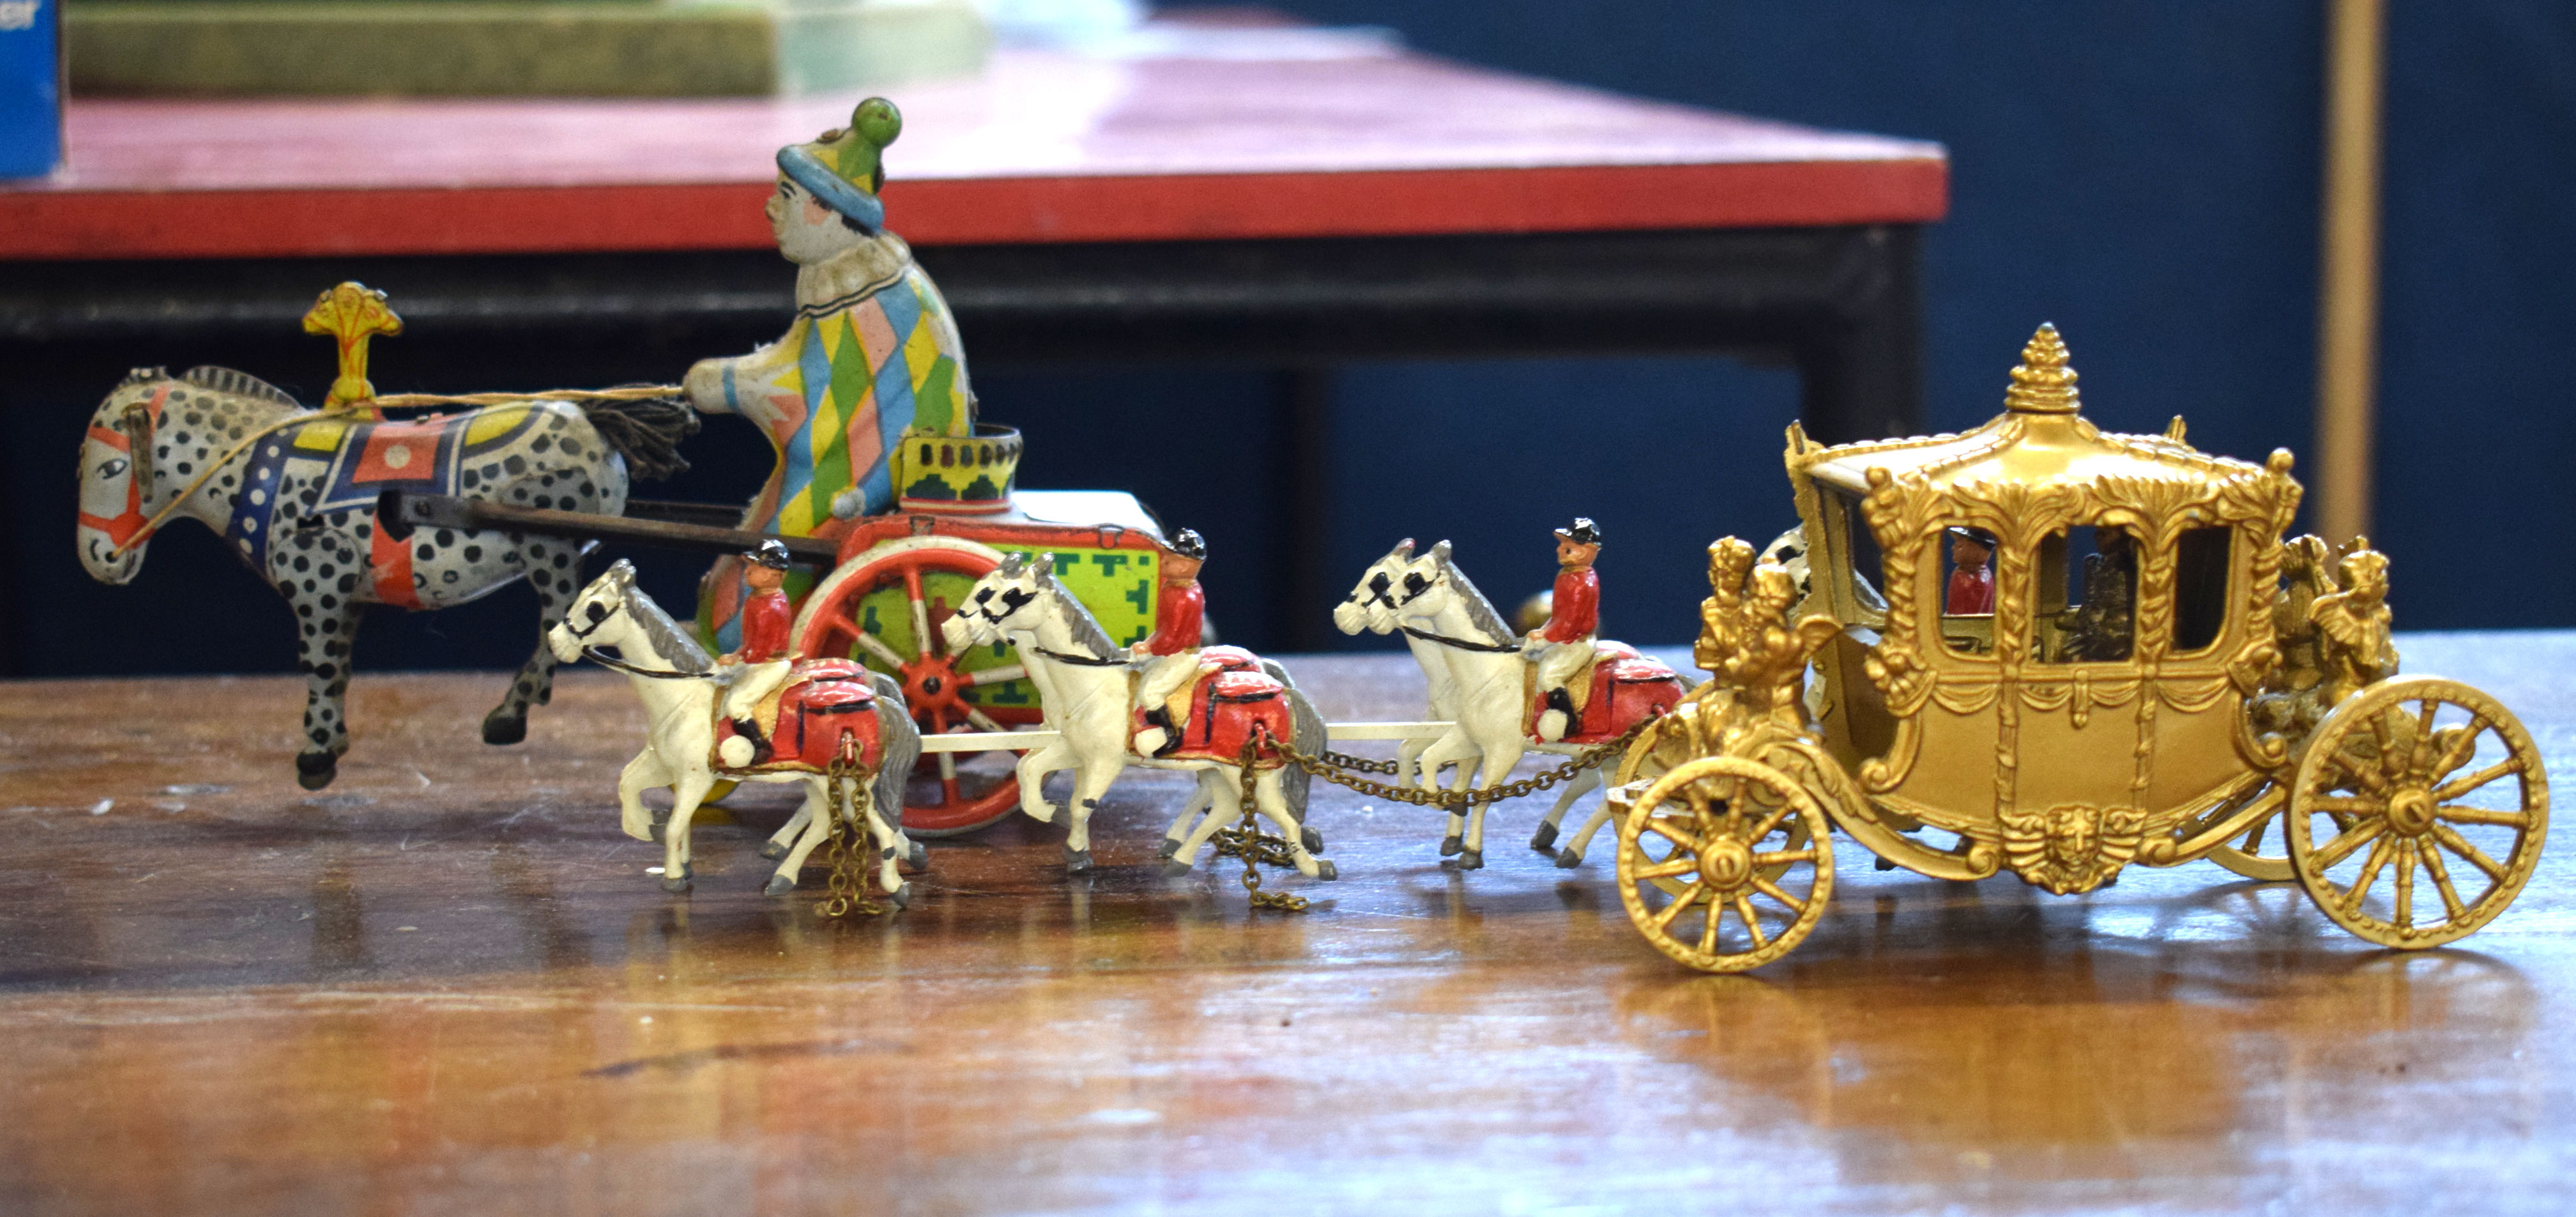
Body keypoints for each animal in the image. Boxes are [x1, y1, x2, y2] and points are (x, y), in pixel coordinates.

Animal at [73, 361, 695, 789]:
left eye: (111, 467)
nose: (99, 557)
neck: (255, 471)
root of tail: (590, 416)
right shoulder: (342, 595)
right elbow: (338, 668)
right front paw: (331, 740)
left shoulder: (317, 581)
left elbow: (319, 665)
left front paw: (317, 753)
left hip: (546, 547)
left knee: (557, 624)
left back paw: (508, 716)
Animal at [549, 562, 932, 902]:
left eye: (594, 607)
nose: (554, 642)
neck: (684, 696)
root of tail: (879, 698)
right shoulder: (663, 765)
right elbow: (628, 787)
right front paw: (651, 828)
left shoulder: (695, 778)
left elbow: (675, 824)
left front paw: (673, 874)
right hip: (817, 780)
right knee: (827, 823)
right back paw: (783, 878)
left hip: (844, 781)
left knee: (873, 824)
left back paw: (896, 885)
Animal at [948, 554, 1350, 882]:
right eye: (979, 588)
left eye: (1006, 594)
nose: (951, 631)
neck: (1091, 684)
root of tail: (1283, 692)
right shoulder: (1075, 751)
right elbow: (1029, 773)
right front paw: (1059, 823)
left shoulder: (1105, 761)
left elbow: (1082, 804)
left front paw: (1074, 848)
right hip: (1222, 770)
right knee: (1223, 808)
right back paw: (1180, 858)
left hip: (1256, 776)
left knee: (1280, 815)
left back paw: (1315, 868)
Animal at [1370, 539, 1689, 866]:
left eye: (1414, 579)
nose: (1375, 614)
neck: (1489, 673)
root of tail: (1675, 681)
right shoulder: (1470, 737)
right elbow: (1430, 759)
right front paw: (1443, 803)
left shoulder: (1504, 752)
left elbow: (1484, 798)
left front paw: (1470, 852)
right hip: (1611, 756)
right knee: (1605, 794)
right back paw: (1560, 843)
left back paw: (1573, 849)